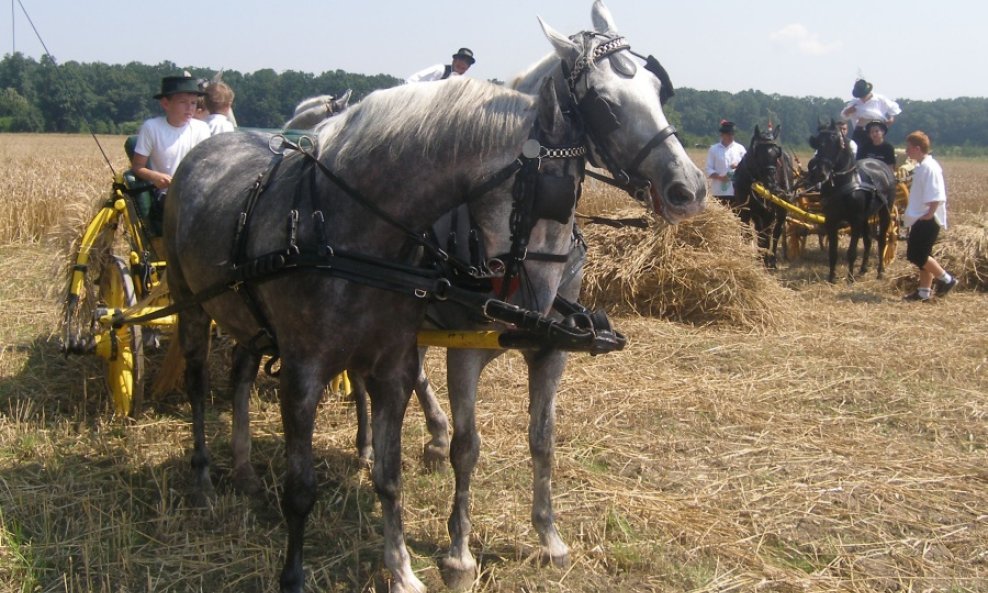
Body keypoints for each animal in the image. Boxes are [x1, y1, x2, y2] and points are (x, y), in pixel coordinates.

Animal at [165, 77, 604, 592]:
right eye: (558, 193)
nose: (540, 311)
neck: (350, 236)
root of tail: (205, 148)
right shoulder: (301, 376)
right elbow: (301, 490)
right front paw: (293, 576)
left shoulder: (392, 367)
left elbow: (390, 476)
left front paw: (401, 569)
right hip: (190, 303)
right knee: (196, 384)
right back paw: (203, 478)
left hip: (244, 315)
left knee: (241, 371)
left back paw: (245, 468)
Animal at [732, 123, 796, 268]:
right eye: (757, 152)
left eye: (777, 154)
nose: (771, 182)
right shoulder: (744, 210)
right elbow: (747, 234)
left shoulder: (769, 212)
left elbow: (766, 236)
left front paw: (766, 260)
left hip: (780, 209)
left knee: (776, 232)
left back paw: (771, 259)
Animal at [812, 120, 896, 282]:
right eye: (817, 142)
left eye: (835, 142)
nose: (820, 173)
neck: (843, 183)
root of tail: (879, 164)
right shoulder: (831, 220)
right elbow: (832, 251)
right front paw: (832, 278)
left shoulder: (855, 220)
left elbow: (852, 252)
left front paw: (850, 278)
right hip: (866, 216)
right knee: (868, 240)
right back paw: (863, 269)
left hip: (885, 211)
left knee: (882, 240)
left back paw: (880, 271)